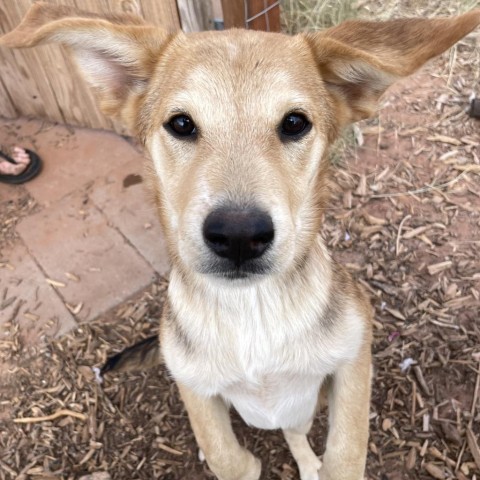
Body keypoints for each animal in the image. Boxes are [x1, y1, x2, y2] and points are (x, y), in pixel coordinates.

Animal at [3, 4, 480, 480]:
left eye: (294, 123)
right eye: (181, 123)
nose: (238, 235)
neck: (252, 309)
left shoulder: (353, 358)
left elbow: (345, 453)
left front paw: (327, 462)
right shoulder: (194, 387)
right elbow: (227, 456)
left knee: (295, 433)